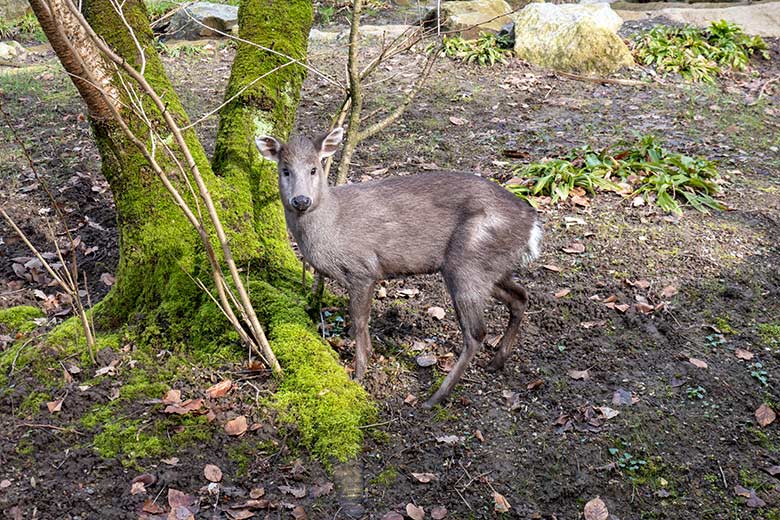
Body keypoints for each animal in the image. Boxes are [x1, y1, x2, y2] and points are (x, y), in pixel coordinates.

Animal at [256, 128, 544, 408]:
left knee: (476, 333)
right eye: (285, 169)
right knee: (520, 296)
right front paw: (369, 356)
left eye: (314, 168)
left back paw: (435, 397)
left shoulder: (363, 268)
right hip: (489, 268)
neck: (332, 226)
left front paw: (359, 374)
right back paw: (496, 362)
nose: (301, 200)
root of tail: (532, 224)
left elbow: (358, 321)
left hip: (467, 263)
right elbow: (363, 320)